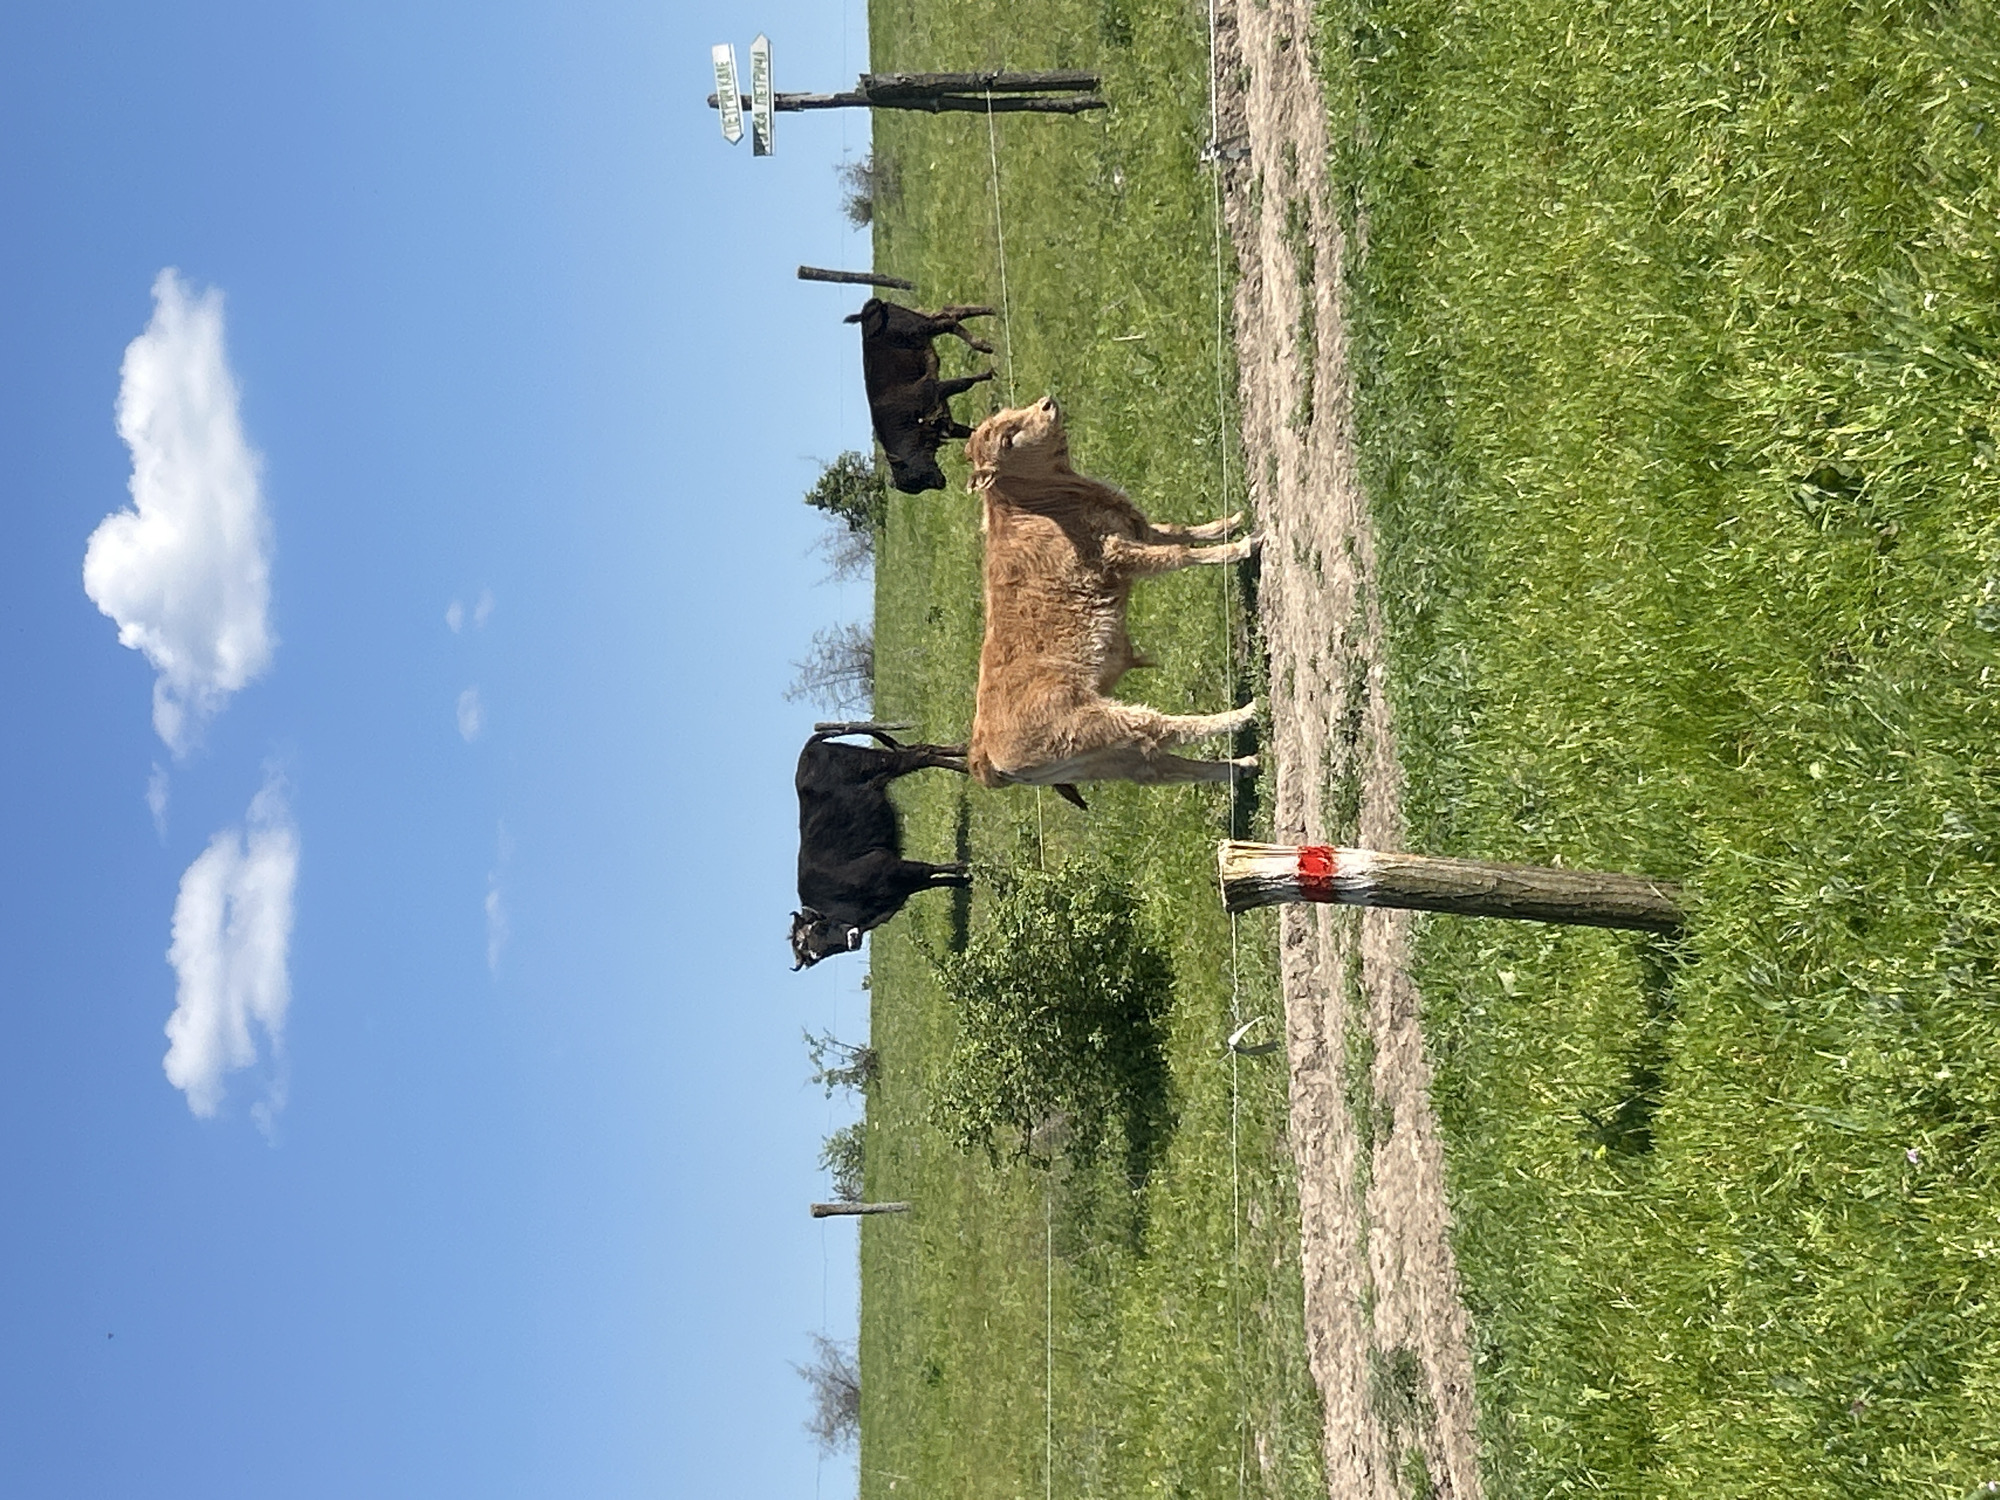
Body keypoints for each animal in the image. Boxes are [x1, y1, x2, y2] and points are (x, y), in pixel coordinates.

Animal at [791, 722, 971, 969]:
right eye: (814, 956)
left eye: (819, 928)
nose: (852, 940)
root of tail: (808, 750)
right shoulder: (901, 886)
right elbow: (935, 880)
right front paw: (965, 882)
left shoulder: (891, 867)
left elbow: (931, 869)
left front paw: (966, 867)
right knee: (922, 749)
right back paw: (965, 752)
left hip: (879, 762)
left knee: (921, 755)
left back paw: (966, 764)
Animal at [846, 299, 998, 494]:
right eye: (914, 486)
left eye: (914, 475)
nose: (941, 483)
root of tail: (867, 313)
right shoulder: (944, 424)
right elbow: (970, 431)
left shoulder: (933, 390)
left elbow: (965, 383)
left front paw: (990, 374)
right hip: (923, 321)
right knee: (950, 313)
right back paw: (991, 311)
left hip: (921, 328)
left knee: (948, 321)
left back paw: (983, 345)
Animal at [965, 397, 1262, 791]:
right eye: (1008, 440)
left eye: (1008, 419)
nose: (1047, 404)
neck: (1040, 505)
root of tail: (983, 753)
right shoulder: (1118, 553)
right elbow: (1180, 554)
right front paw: (1245, 545)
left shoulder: (1136, 529)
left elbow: (1179, 531)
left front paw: (1231, 522)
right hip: (1097, 725)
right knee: (1160, 728)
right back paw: (1247, 713)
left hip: (1105, 760)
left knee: (1161, 767)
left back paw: (1246, 764)